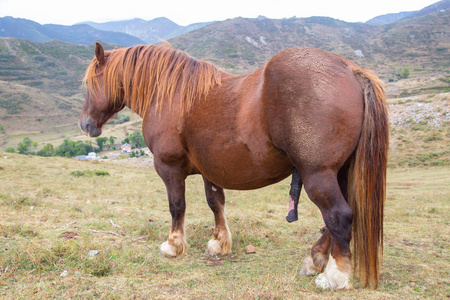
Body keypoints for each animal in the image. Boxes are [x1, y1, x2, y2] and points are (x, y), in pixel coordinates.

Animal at [79, 41, 388, 290]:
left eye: (91, 83)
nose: (85, 124)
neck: (171, 95)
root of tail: (350, 70)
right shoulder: (210, 170)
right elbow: (215, 203)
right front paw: (220, 242)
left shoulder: (169, 167)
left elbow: (177, 206)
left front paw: (173, 245)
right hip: (340, 173)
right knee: (334, 220)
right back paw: (314, 261)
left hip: (318, 174)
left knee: (338, 216)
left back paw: (335, 276)